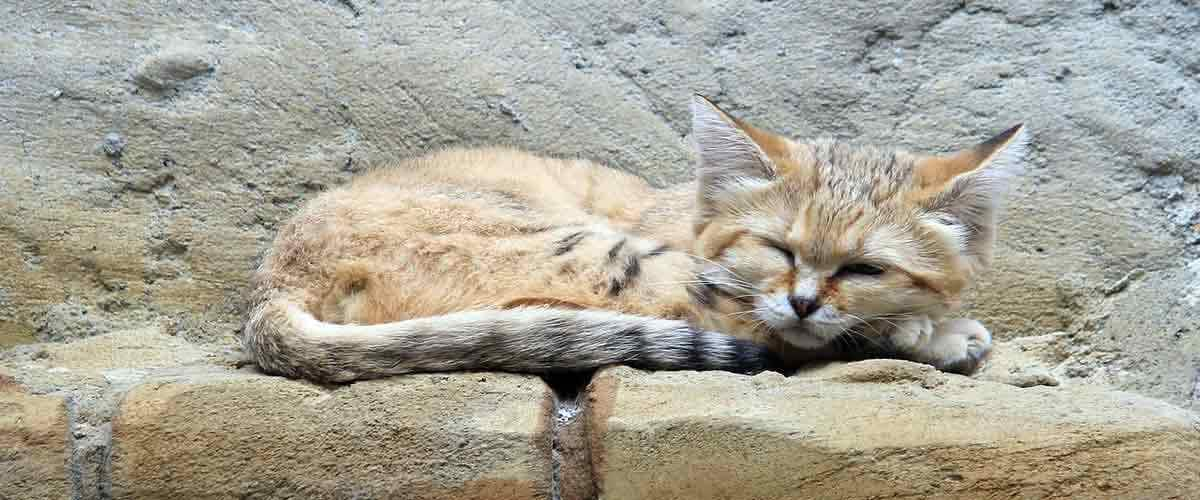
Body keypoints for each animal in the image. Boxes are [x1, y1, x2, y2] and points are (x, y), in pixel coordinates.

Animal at [241, 94, 1022, 381]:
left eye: (864, 269)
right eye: (777, 249)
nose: (804, 301)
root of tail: (271, 283)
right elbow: (811, 333)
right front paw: (934, 331)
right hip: (603, 255)